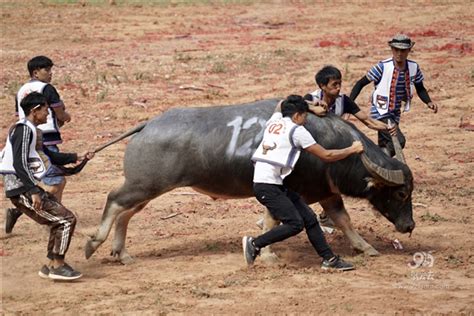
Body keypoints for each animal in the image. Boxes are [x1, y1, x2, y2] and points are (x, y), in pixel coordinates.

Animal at [85, 99, 414, 264]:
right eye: (400, 194)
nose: (409, 226)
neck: (328, 142)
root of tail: (147, 125)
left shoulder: (326, 192)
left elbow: (344, 220)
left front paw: (365, 247)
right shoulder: (285, 191)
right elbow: (272, 222)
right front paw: (267, 254)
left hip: (146, 189)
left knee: (126, 213)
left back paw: (122, 253)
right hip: (144, 185)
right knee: (114, 200)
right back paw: (94, 243)